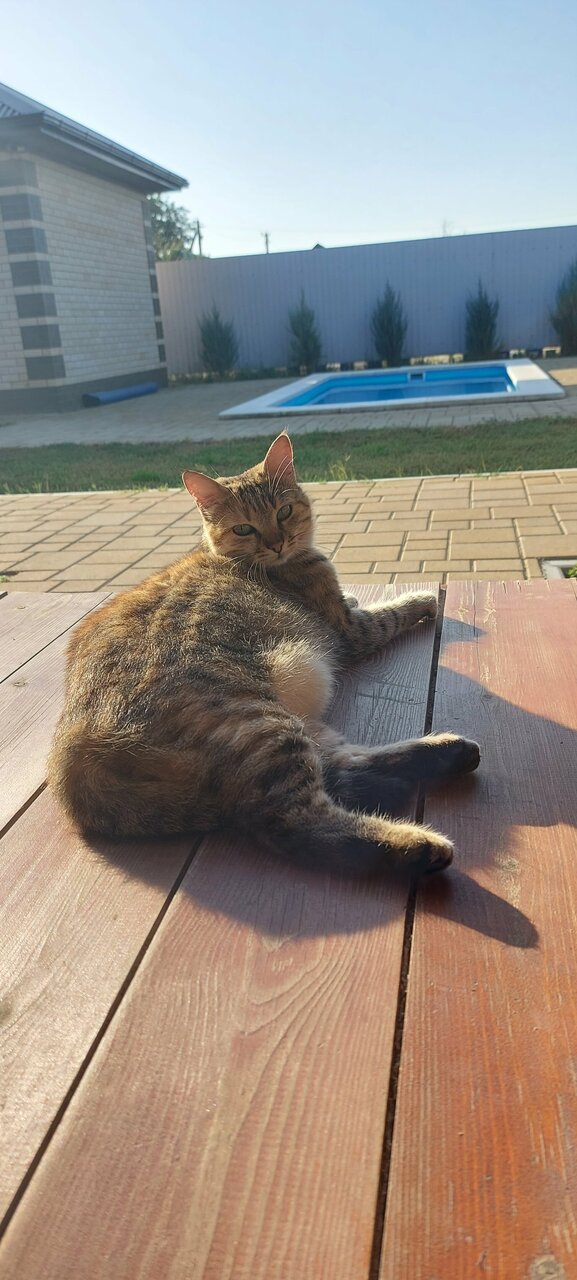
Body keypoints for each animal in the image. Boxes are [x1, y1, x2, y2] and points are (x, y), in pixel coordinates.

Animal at [48, 432, 480, 877]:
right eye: (244, 528)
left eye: (284, 511)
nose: (276, 543)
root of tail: (74, 769)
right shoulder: (351, 631)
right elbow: (389, 613)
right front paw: (422, 599)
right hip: (260, 724)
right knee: (298, 823)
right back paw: (419, 845)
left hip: (294, 726)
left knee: (342, 764)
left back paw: (450, 752)